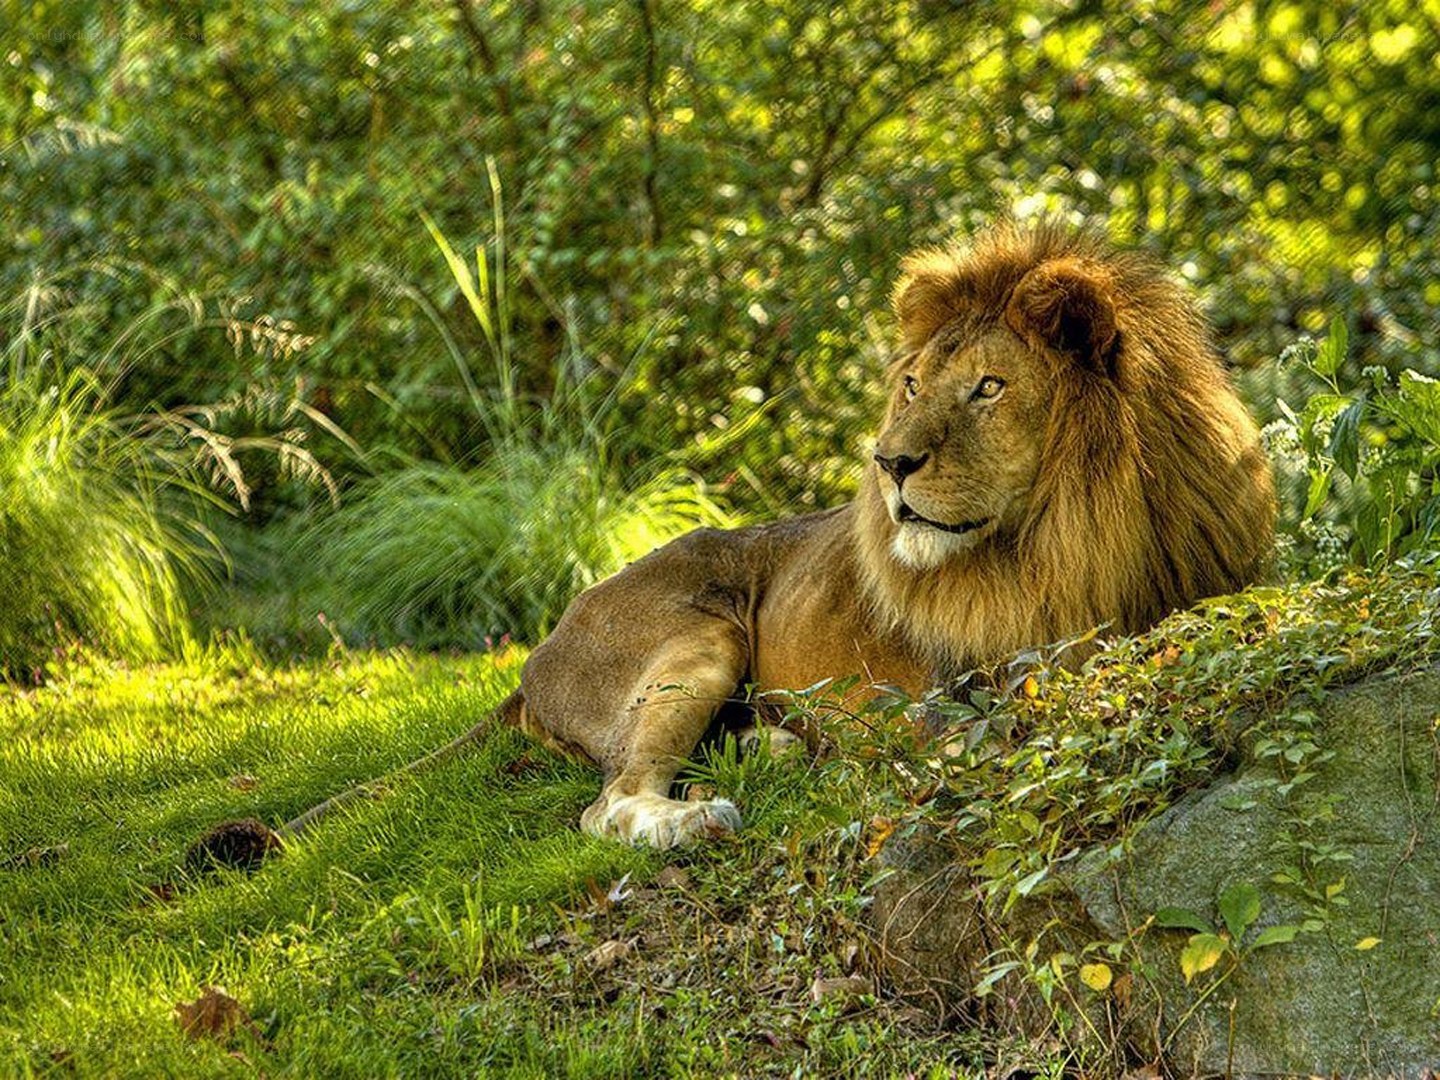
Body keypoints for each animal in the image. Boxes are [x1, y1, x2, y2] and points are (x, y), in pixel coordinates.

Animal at [194, 222, 1274, 864]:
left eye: (987, 388)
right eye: (912, 383)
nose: (888, 464)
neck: (1070, 537)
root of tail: (534, 658)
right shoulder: (946, 694)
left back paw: (770, 749)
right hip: (696, 634)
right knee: (606, 802)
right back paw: (698, 810)